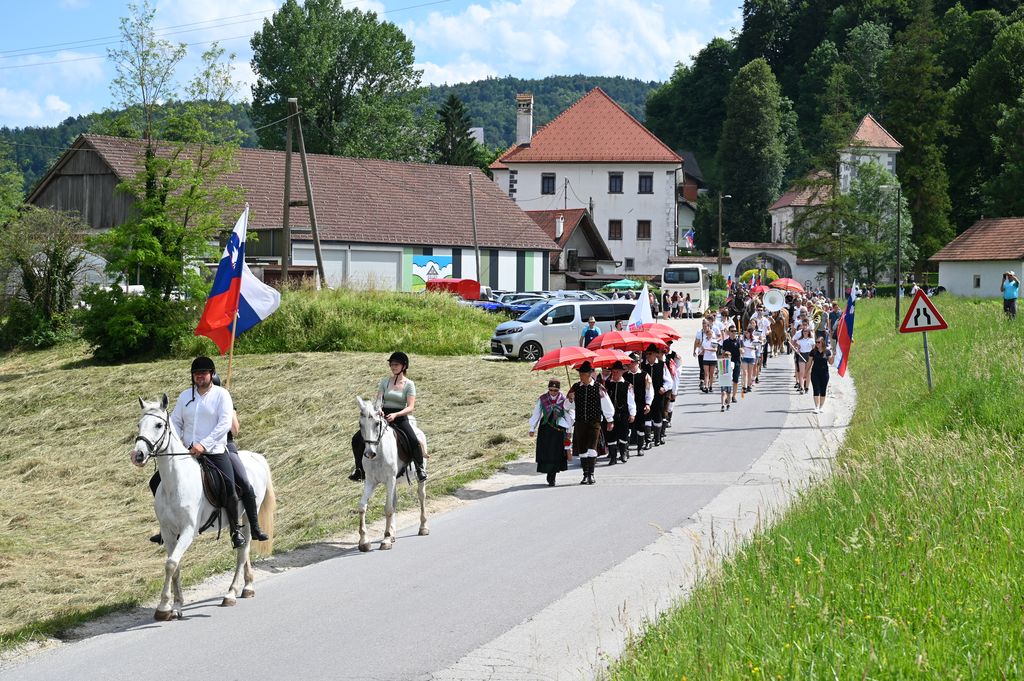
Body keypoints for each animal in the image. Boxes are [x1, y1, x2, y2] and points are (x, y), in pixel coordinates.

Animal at [130, 395, 276, 620]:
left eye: (158, 425)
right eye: (139, 424)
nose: (137, 455)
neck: (175, 482)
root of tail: (255, 457)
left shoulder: (188, 531)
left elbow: (170, 564)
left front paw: (163, 607)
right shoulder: (169, 532)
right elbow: (175, 565)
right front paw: (176, 606)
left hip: (248, 514)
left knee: (243, 549)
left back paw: (231, 593)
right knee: (243, 548)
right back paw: (248, 586)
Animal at [355, 396, 429, 552]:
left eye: (377, 423)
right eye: (360, 424)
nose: (369, 453)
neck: (378, 453)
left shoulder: (390, 479)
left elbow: (388, 508)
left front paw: (386, 540)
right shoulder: (371, 481)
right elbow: (362, 506)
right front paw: (364, 541)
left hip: (417, 477)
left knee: (421, 496)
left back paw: (423, 527)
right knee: (394, 501)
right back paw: (393, 533)